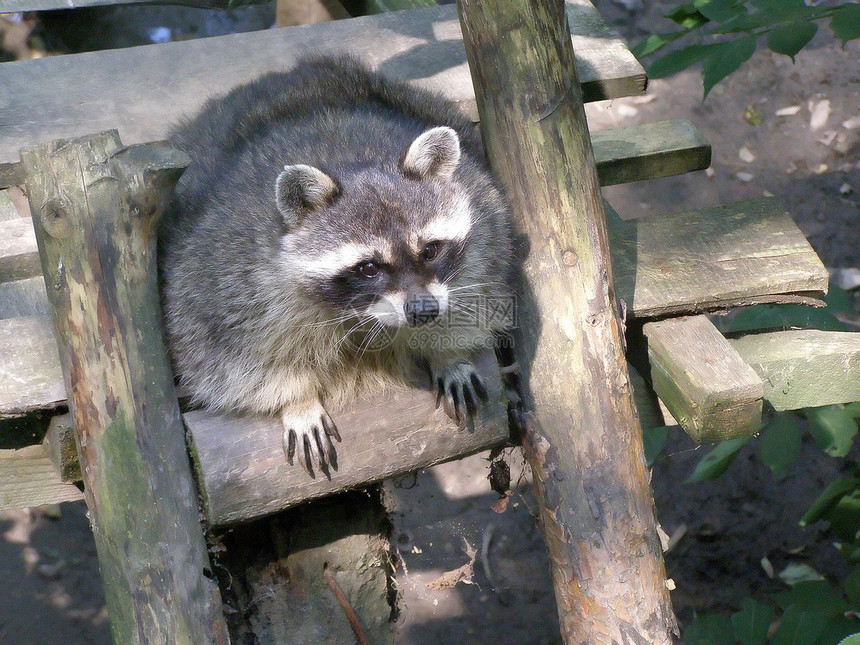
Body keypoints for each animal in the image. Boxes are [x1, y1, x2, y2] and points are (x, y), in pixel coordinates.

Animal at [158, 55, 512, 476]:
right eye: (369, 268)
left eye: (430, 250)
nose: (423, 312)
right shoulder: (227, 273)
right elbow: (230, 356)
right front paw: (296, 399)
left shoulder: (484, 223)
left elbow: (478, 290)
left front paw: (448, 352)